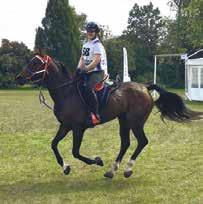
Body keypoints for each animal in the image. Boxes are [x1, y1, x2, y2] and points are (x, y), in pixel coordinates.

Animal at [15, 53, 201, 178]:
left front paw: (97, 161)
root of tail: (145, 87)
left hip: (135, 122)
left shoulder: (77, 128)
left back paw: (127, 169)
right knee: (125, 143)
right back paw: (112, 170)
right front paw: (65, 167)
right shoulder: (65, 126)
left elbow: (75, 152)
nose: (18, 78)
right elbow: (53, 145)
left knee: (142, 141)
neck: (66, 92)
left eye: (35, 63)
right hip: (123, 120)